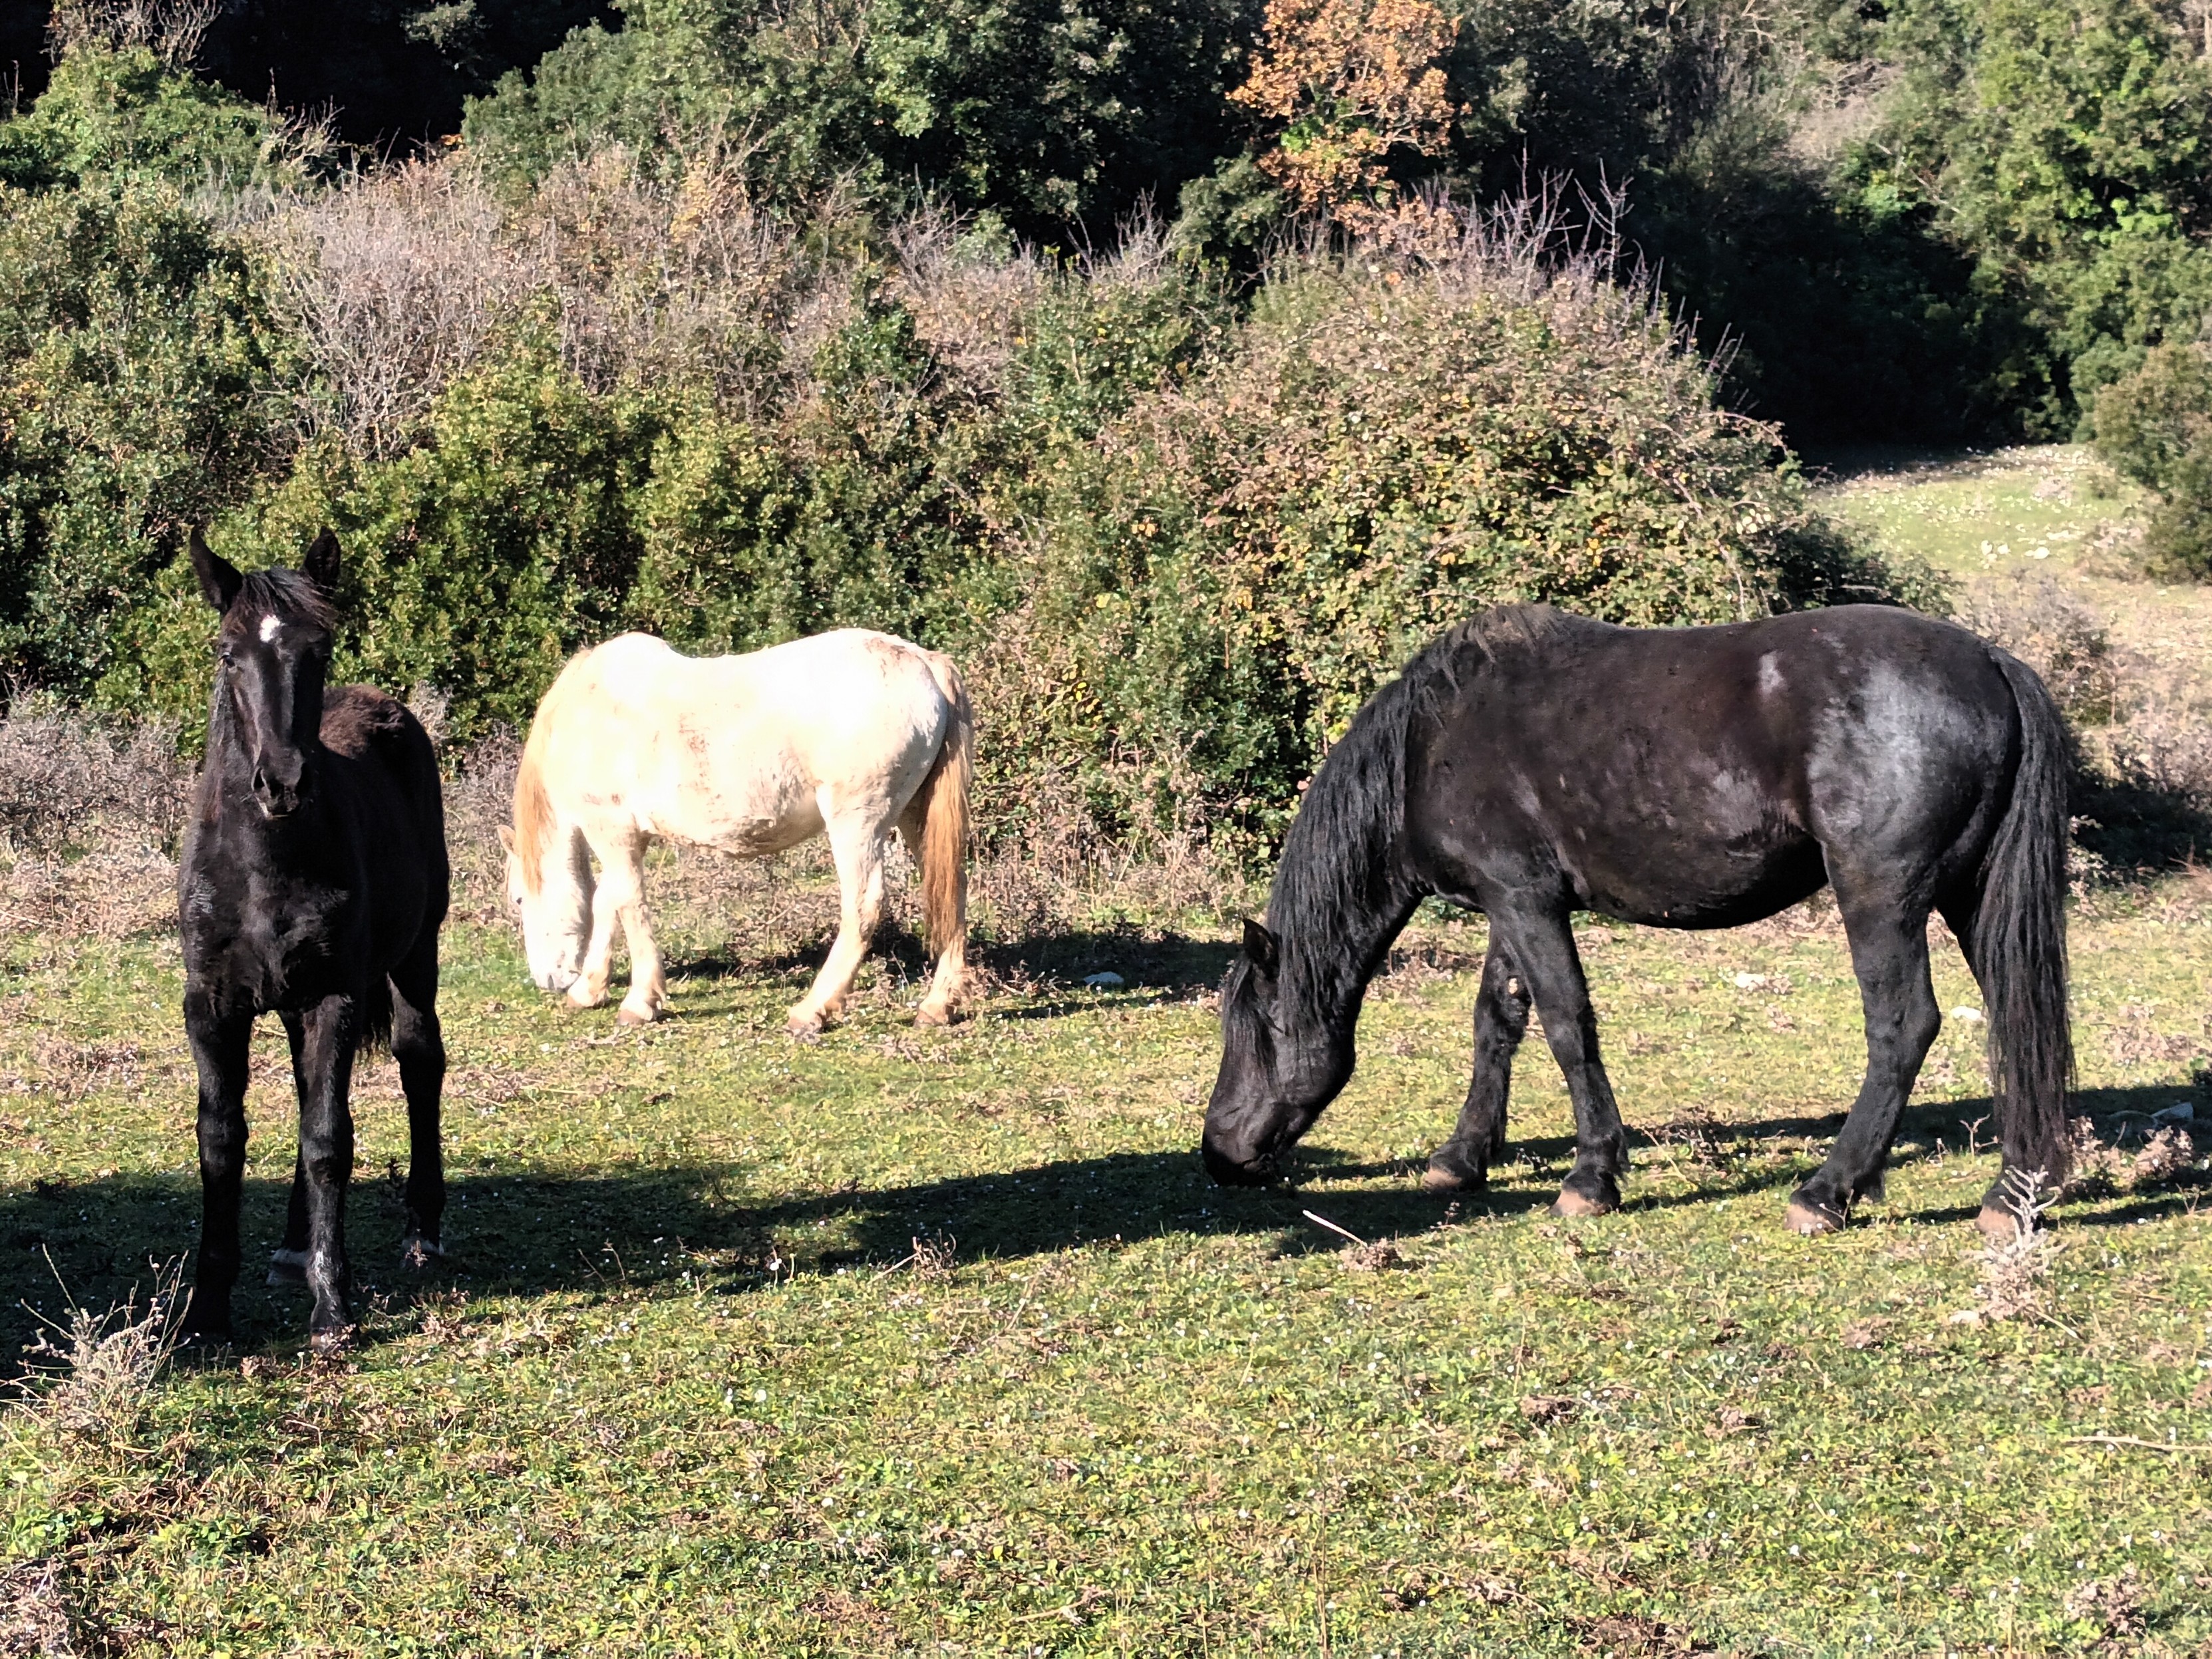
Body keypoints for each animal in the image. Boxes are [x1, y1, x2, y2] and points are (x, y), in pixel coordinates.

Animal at [177, 529, 449, 1346]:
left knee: (419, 1059)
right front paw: (206, 1311)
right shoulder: (211, 1006)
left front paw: (333, 1310)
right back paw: (294, 1250)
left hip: (416, 953)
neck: (266, 868)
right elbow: (221, 1143)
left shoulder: (335, 995)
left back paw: (422, 1233)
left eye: (317, 648)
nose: (282, 784)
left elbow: (328, 1138)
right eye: (227, 652)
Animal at [499, 629, 973, 1036]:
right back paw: (938, 1006)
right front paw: (590, 989)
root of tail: (923, 662)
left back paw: (812, 1010)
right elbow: (608, 902)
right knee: (951, 890)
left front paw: (639, 1001)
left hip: (857, 822)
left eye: (519, 899)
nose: (547, 979)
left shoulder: (612, 830)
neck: (586, 713)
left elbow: (627, 904)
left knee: (864, 904)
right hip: (915, 815)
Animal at [1203, 604, 2074, 1238]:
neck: (1429, 743)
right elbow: (1497, 1020)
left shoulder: (1525, 901)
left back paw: (1827, 1191)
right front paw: (1462, 1157)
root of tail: (1991, 664)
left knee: (1903, 1027)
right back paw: (2012, 1192)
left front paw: (1591, 1176)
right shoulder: (1509, 905)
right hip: (1972, 897)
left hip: (1879, 898)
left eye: (1255, 1031)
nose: (1217, 1154)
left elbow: (1566, 1025)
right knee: (2017, 1016)